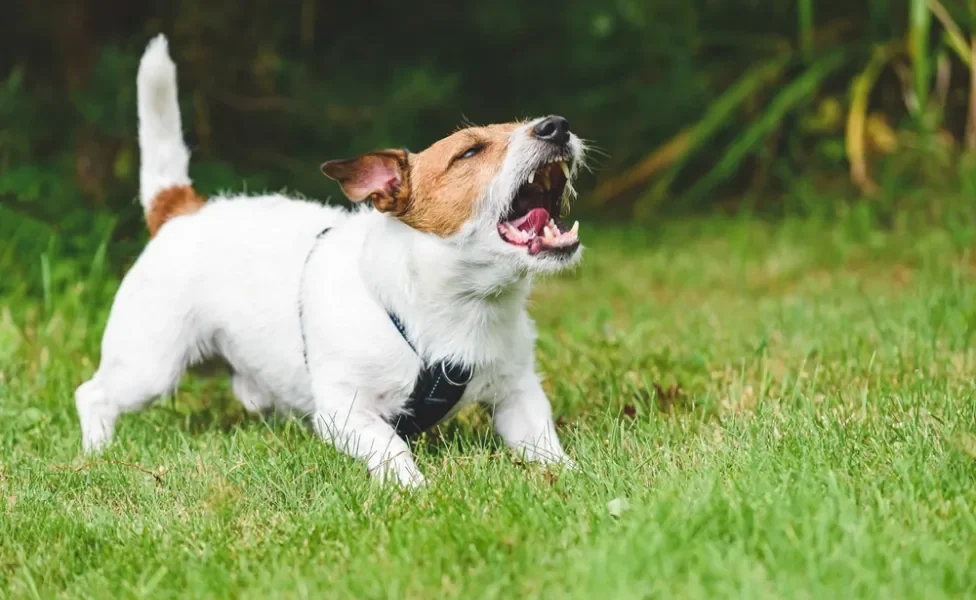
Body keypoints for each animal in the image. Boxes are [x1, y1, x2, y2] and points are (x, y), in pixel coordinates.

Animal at [76, 34, 588, 488]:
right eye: (469, 151)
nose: (557, 125)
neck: (459, 306)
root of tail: (181, 208)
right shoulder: (347, 411)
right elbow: (389, 443)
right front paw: (410, 485)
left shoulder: (517, 393)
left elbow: (543, 443)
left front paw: (574, 476)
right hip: (150, 366)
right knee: (92, 394)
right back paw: (98, 451)